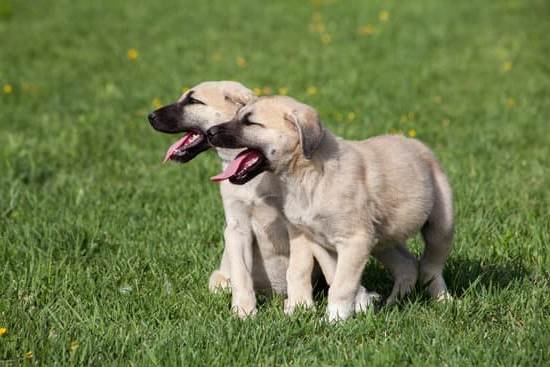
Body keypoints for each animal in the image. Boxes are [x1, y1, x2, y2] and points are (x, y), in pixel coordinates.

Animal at [147, 82, 380, 318]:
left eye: (193, 101)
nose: (150, 116)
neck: (256, 182)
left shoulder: (297, 227)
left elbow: (298, 269)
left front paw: (299, 306)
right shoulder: (237, 227)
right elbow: (241, 273)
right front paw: (243, 311)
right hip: (218, 280)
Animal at [209, 95, 454, 322]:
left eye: (250, 122)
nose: (210, 132)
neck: (307, 175)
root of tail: (417, 144)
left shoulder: (355, 240)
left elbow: (342, 285)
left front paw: (334, 320)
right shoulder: (319, 240)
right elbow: (334, 276)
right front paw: (353, 308)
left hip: (441, 225)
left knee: (431, 266)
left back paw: (444, 301)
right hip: (382, 237)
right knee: (407, 264)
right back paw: (395, 301)